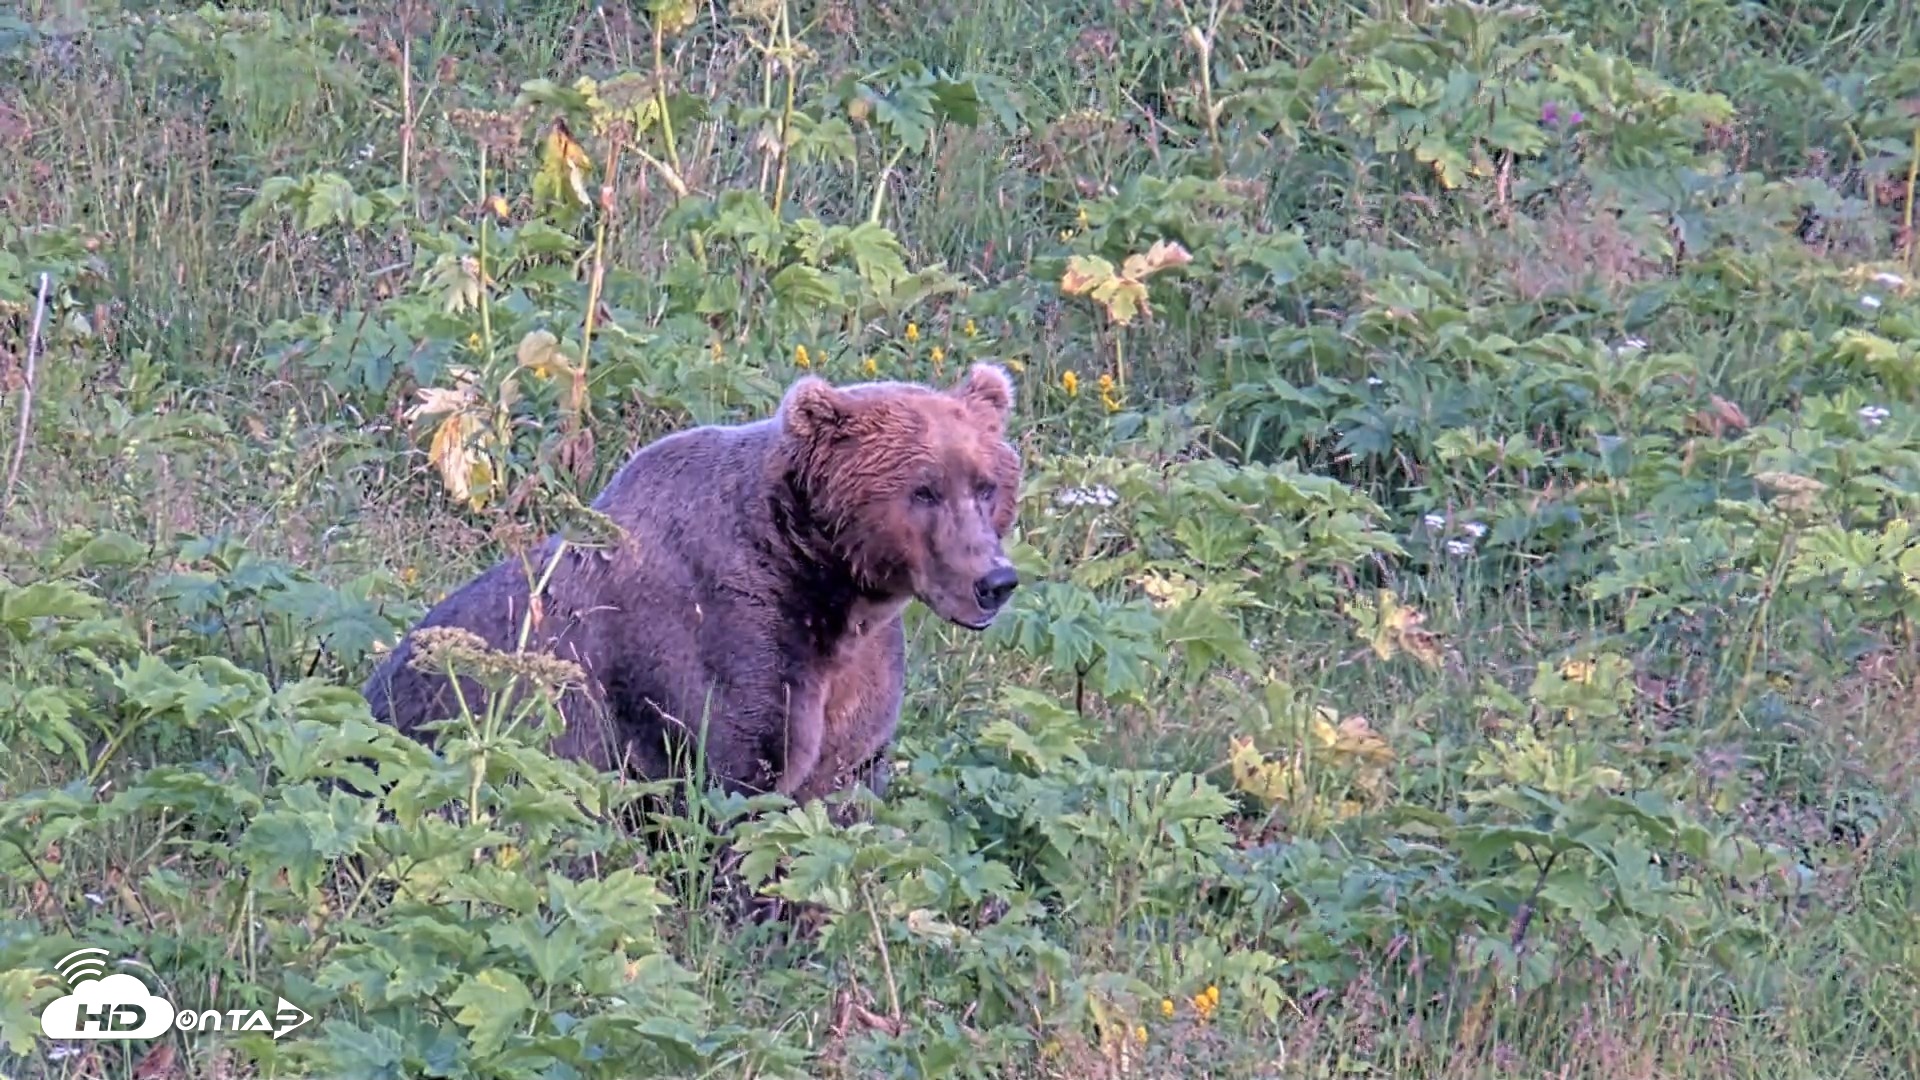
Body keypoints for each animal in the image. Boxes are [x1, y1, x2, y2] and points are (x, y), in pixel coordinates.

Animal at [361, 362, 1024, 809]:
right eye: (924, 490)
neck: (828, 588)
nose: (994, 580)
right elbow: (733, 780)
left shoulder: (863, 668)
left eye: (986, 485)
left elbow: (844, 783)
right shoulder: (723, 634)